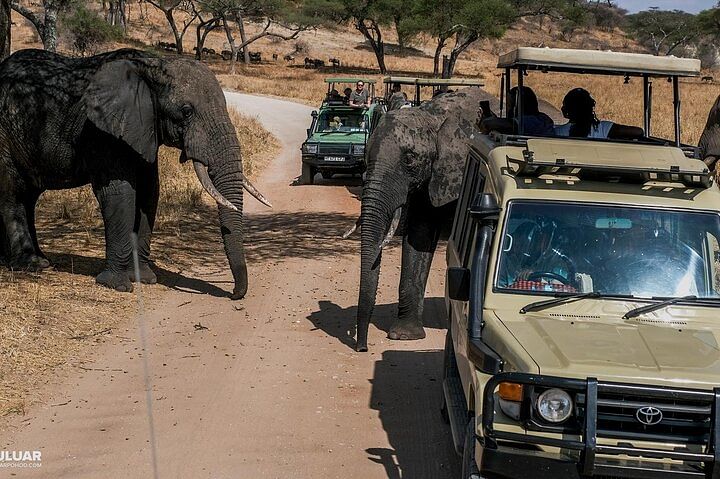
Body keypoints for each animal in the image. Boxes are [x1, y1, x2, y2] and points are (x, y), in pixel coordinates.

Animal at [0, 47, 270, 298]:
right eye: (186, 111)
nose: (234, 294)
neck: (153, 64)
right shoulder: (102, 132)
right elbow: (120, 195)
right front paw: (117, 285)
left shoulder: (144, 130)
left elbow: (150, 192)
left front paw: (145, 278)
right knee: (13, 194)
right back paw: (31, 265)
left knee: (29, 197)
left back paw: (37, 260)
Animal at [354, 87, 564, 352]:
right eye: (365, 156)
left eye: (409, 159)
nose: (362, 348)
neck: (432, 117)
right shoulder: (432, 177)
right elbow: (420, 235)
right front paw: (404, 336)